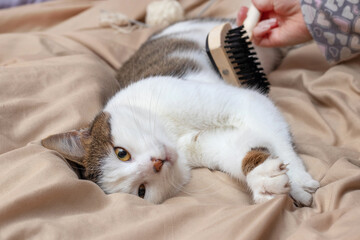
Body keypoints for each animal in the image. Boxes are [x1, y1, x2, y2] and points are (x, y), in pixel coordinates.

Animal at [42, 18, 320, 206]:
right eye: (141, 190)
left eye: (121, 153)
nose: (156, 163)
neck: (171, 131)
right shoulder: (205, 146)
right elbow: (239, 149)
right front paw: (265, 180)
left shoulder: (242, 101)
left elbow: (276, 137)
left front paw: (299, 180)